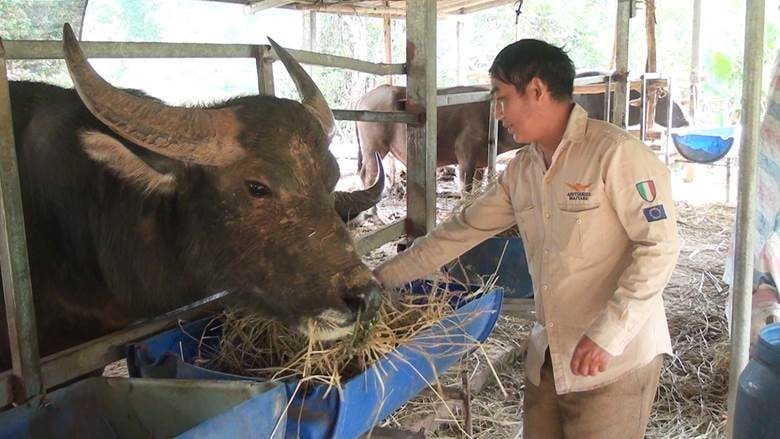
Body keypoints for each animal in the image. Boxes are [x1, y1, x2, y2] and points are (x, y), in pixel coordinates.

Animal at [354, 85, 516, 192]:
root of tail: (363, 98)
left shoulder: (481, 163)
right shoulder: (465, 156)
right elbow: (466, 189)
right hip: (374, 149)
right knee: (370, 175)